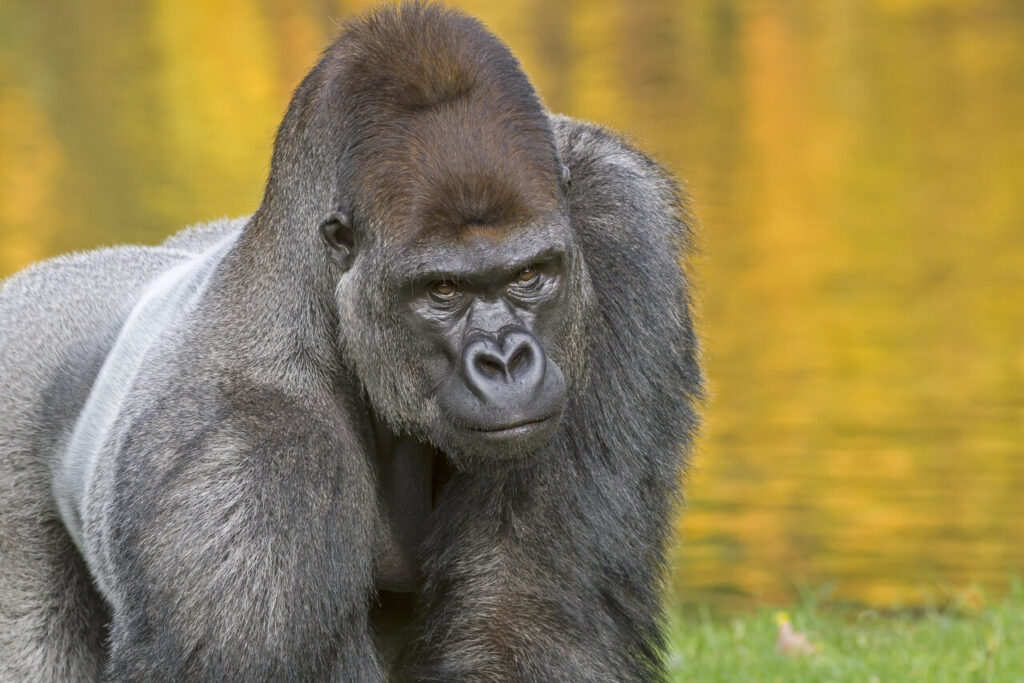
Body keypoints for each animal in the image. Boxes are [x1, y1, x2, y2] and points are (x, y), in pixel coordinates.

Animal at [0, 3, 701, 680]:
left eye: (530, 275)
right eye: (442, 290)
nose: (505, 361)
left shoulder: (617, 211)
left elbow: (530, 615)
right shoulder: (247, 485)